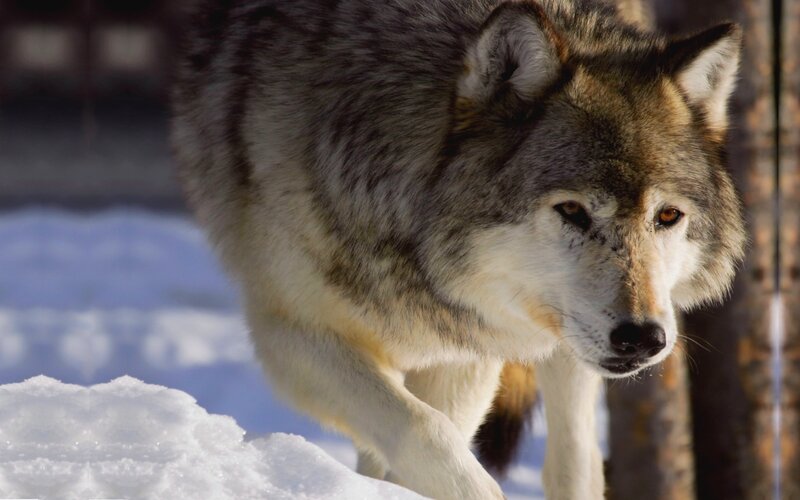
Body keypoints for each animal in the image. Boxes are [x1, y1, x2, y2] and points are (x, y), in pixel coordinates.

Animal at [171, 0, 746, 498]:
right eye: (572, 210)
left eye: (667, 216)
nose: (644, 339)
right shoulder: (292, 333)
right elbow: (427, 433)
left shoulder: (466, 347)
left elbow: (437, 433)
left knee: (576, 458)